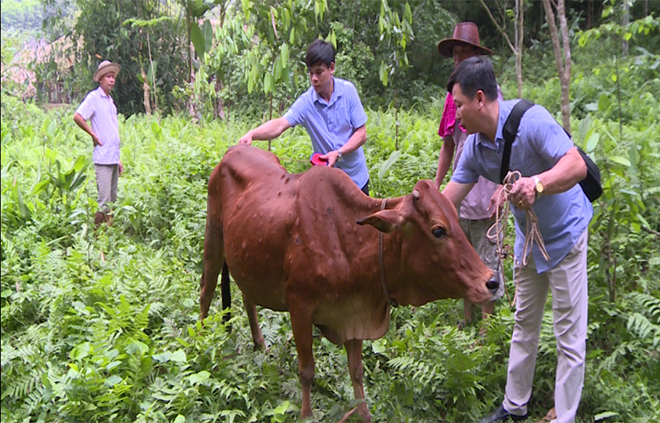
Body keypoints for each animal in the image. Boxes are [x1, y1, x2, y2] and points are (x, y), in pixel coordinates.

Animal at [199, 145, 498, 420]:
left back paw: (260, 344)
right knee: (205, 291)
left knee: (247, 296)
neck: (347, 240)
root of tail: (234, 150)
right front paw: (306, 415)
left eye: (457, 219)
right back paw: (201, 343)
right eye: (438, 230)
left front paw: (364, 415)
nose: (491, 281)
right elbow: (307, 371)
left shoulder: (354, 314)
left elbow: (356, 372)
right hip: (213, 237)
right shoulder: (299, 307)